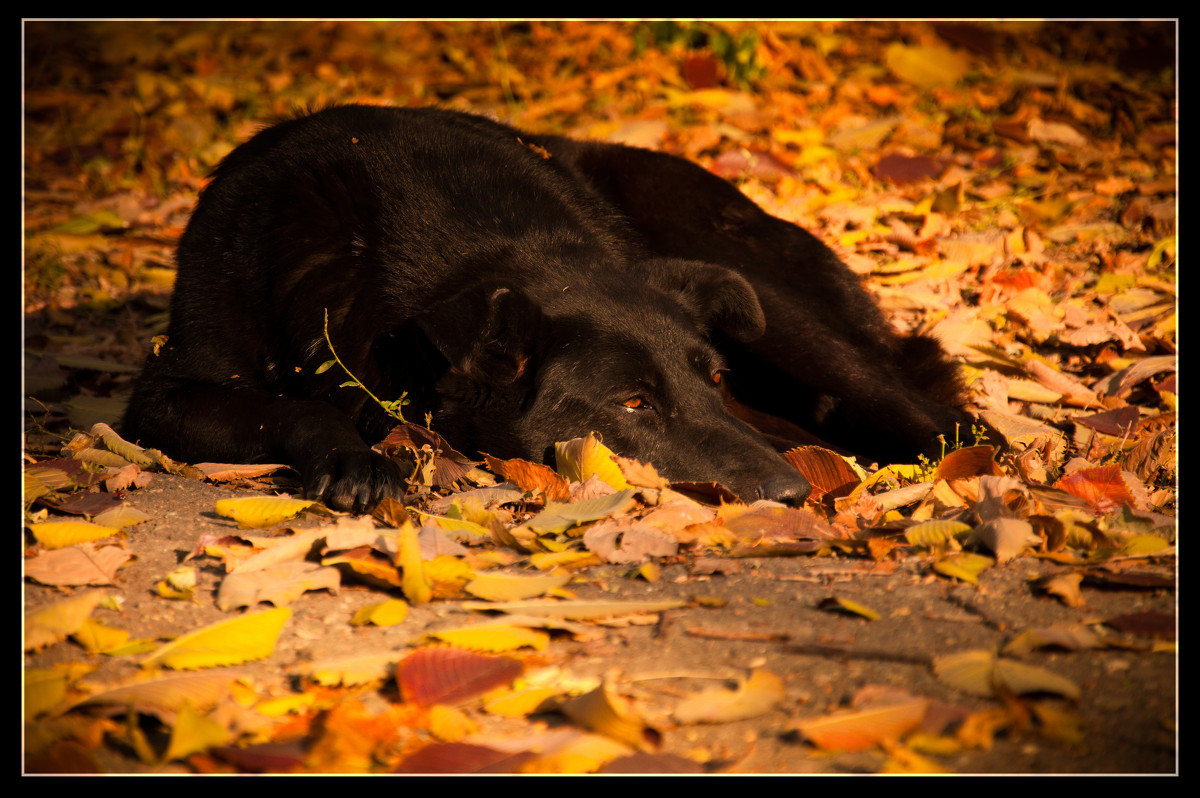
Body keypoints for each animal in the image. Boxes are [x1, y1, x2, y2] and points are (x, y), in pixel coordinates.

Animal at [121, 104, 969, 511]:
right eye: (631, 404)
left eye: (714, 382)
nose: (795, 497)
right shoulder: (168, 392)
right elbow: (290, 407)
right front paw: (351, 456)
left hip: (785, 319)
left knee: (931, 414)